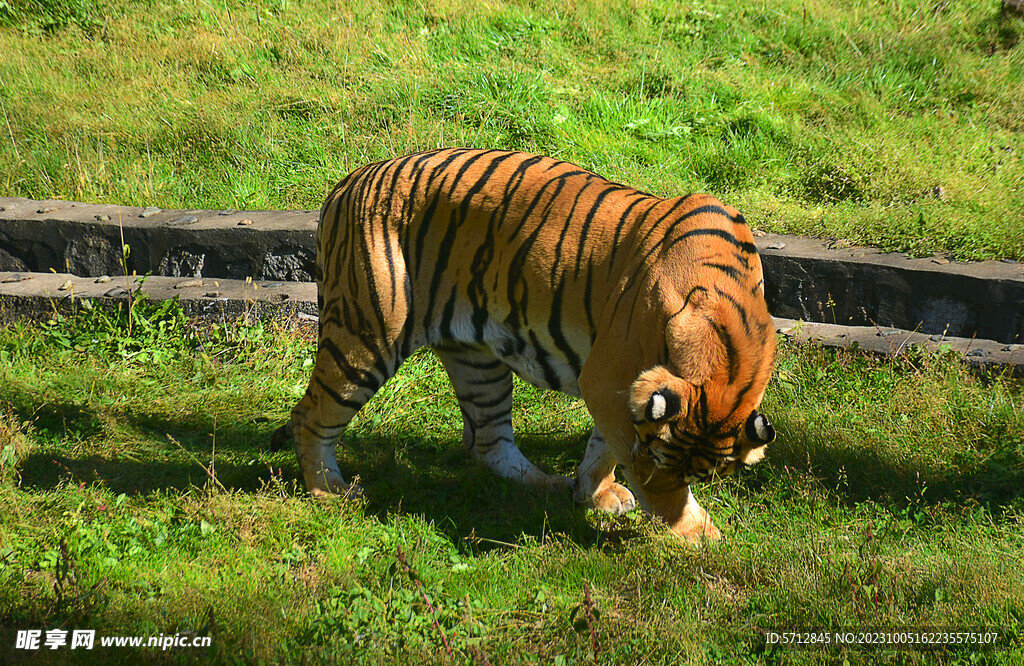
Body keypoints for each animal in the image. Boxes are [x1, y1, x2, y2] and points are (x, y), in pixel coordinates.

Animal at [272, 146, 774, 540]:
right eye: (655, 457)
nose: (648, 477)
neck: (736, 341)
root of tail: (345, 184)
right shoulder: (608, 380)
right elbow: (618, 448)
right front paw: (696, 531)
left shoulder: (620, 392)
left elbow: (601, 447)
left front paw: (593, 493)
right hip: (366, 333)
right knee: (310, 416)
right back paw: (330, 491)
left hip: (477, 361)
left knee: (489, 443)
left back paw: (543, 482)